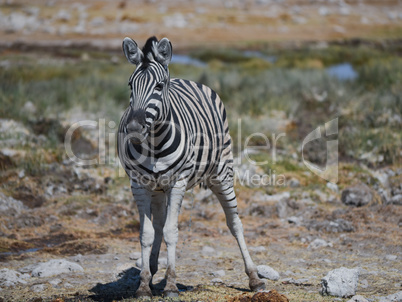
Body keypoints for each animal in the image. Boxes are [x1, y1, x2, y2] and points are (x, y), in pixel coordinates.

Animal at [118, 37, 266, 298]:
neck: (154, 144)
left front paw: (171, 285)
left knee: (234, 222)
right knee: (158, 224)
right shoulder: (139, 184)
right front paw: (144, 284)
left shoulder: (178, 182)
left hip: (222, 174)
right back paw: (153, 268)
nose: (134, 129)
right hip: (158, 188)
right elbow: (147, 233)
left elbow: (171, 232)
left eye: (159, 86)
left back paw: (254, 278)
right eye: (130, 85)